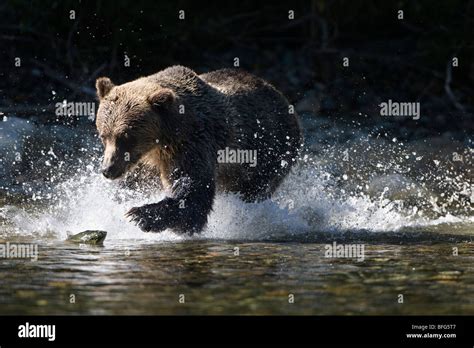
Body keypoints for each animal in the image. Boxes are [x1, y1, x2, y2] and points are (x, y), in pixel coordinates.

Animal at [96, 65, 302, 234]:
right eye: (103, 135)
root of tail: (282, 97)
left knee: (255, 187)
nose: (108, 170)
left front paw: (141, 215)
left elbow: (194, 191)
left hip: (270, 150)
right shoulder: (143, 162)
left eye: (126, 137)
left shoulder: (191, 144)